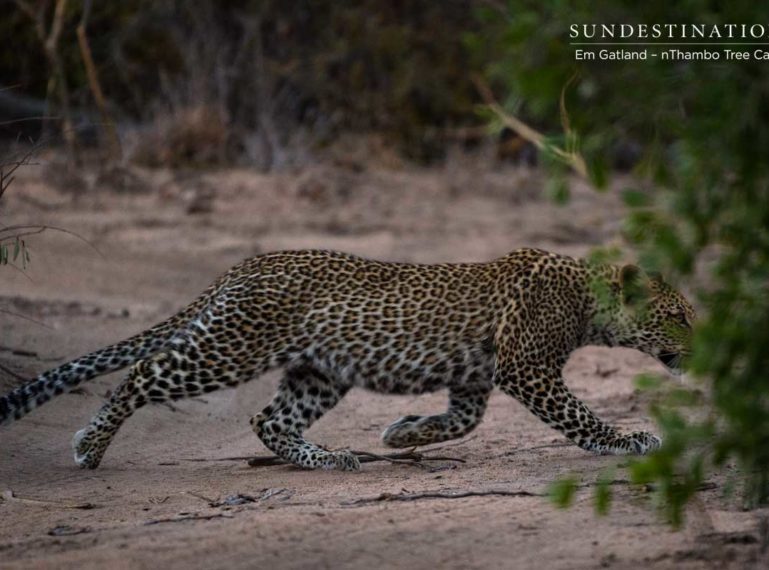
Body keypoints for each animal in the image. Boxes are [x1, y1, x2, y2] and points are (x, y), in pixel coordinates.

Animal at [0, 246, 696, 468]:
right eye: (678, 316)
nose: (697, 350)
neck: (589, 300)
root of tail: (245, 265)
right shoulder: (526, 367)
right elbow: (579, 417)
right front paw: (628, 440)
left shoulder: (476, 377)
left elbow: (462, 419)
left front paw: (402, 434)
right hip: (229, 348)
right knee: (142, 374)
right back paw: (90, 447)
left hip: (318, 372)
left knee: (268, 420)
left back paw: (327, 457)